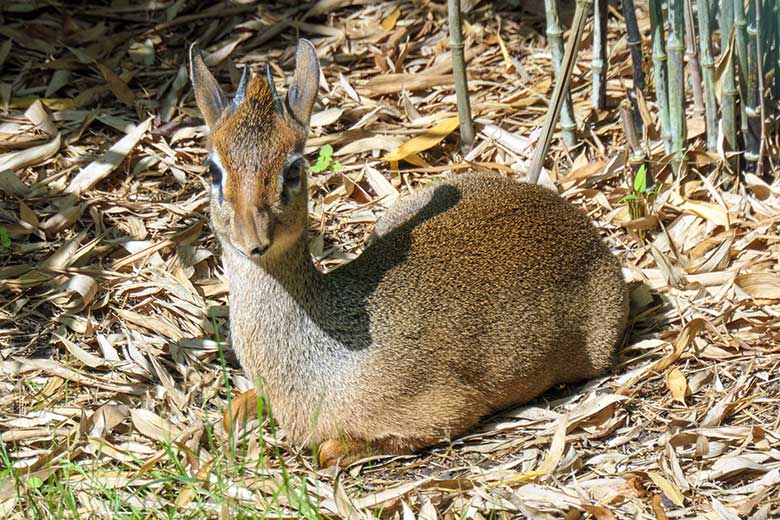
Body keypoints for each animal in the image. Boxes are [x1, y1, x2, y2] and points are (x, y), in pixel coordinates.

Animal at [192, 38, 632, 466]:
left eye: (293, 169)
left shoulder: (447, 411)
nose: (253, 239)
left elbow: (327, 451)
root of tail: (582, 226)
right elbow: (233, 409)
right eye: (213, 170)